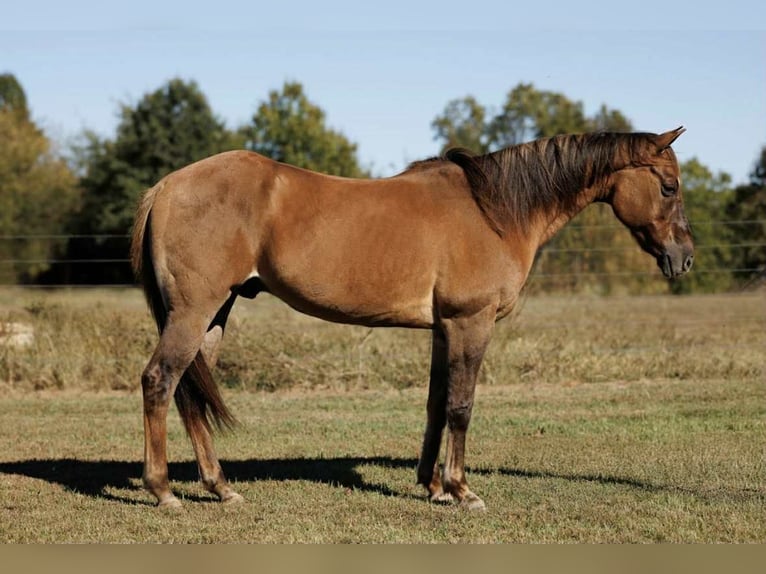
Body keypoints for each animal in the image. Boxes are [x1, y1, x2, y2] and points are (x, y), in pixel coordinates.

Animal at [130, 127, 693, 510]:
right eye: (668, 186)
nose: (684, 258)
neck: (495, 211)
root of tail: (165, 187)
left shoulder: (444, 329)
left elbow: (435, 404)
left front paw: (432, 486)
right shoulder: (471, 323)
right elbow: (462, 406)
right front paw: (462, 490)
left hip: (214, 314)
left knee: (189, 392)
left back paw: (220, 487)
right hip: (194, 311)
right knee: (160, 381)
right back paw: (163, 491)